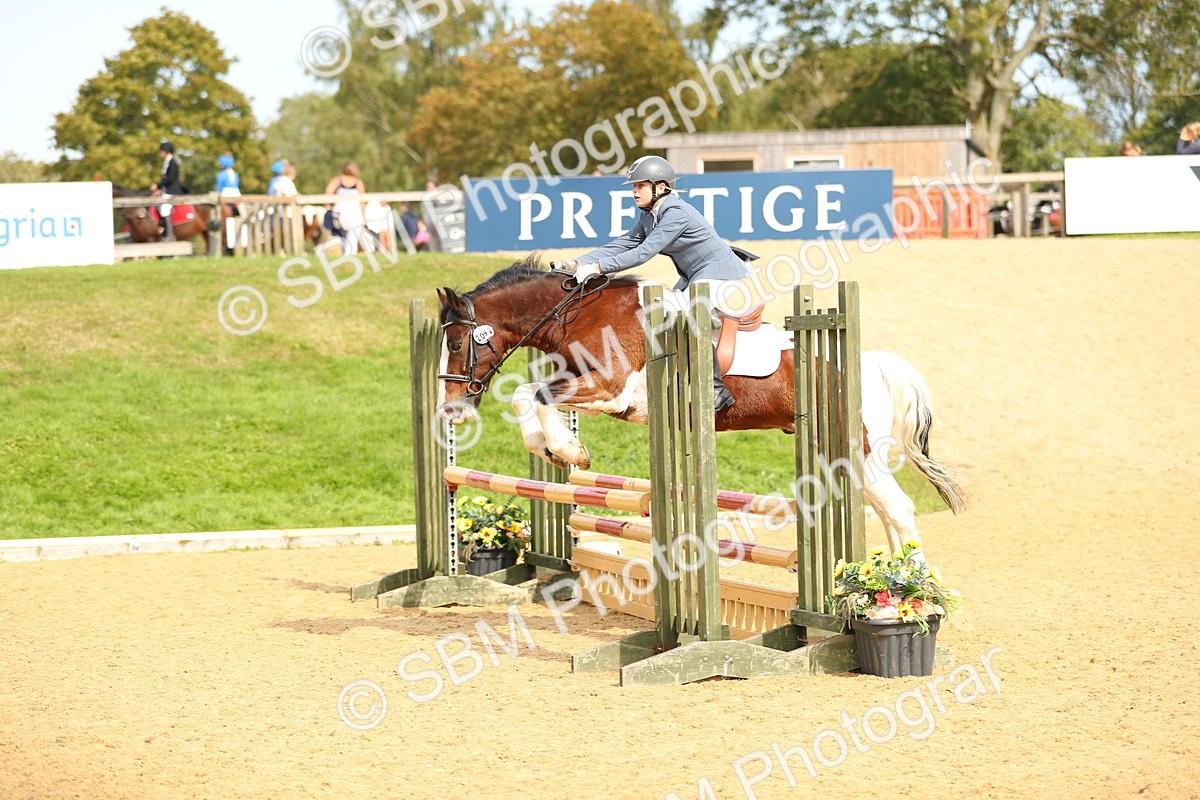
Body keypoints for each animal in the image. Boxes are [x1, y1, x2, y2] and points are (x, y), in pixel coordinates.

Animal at [434, 255, 966, 555]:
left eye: (458, 343)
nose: (451, 411)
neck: (579, 313)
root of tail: (868, 363)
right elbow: (527, 395)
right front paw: (551, 449)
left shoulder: (611, 389)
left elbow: (536, 394)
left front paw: (568, 451)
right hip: (839, 453)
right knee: (885, 510)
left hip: (858, 449)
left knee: (898, 509)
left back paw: (911, 596)